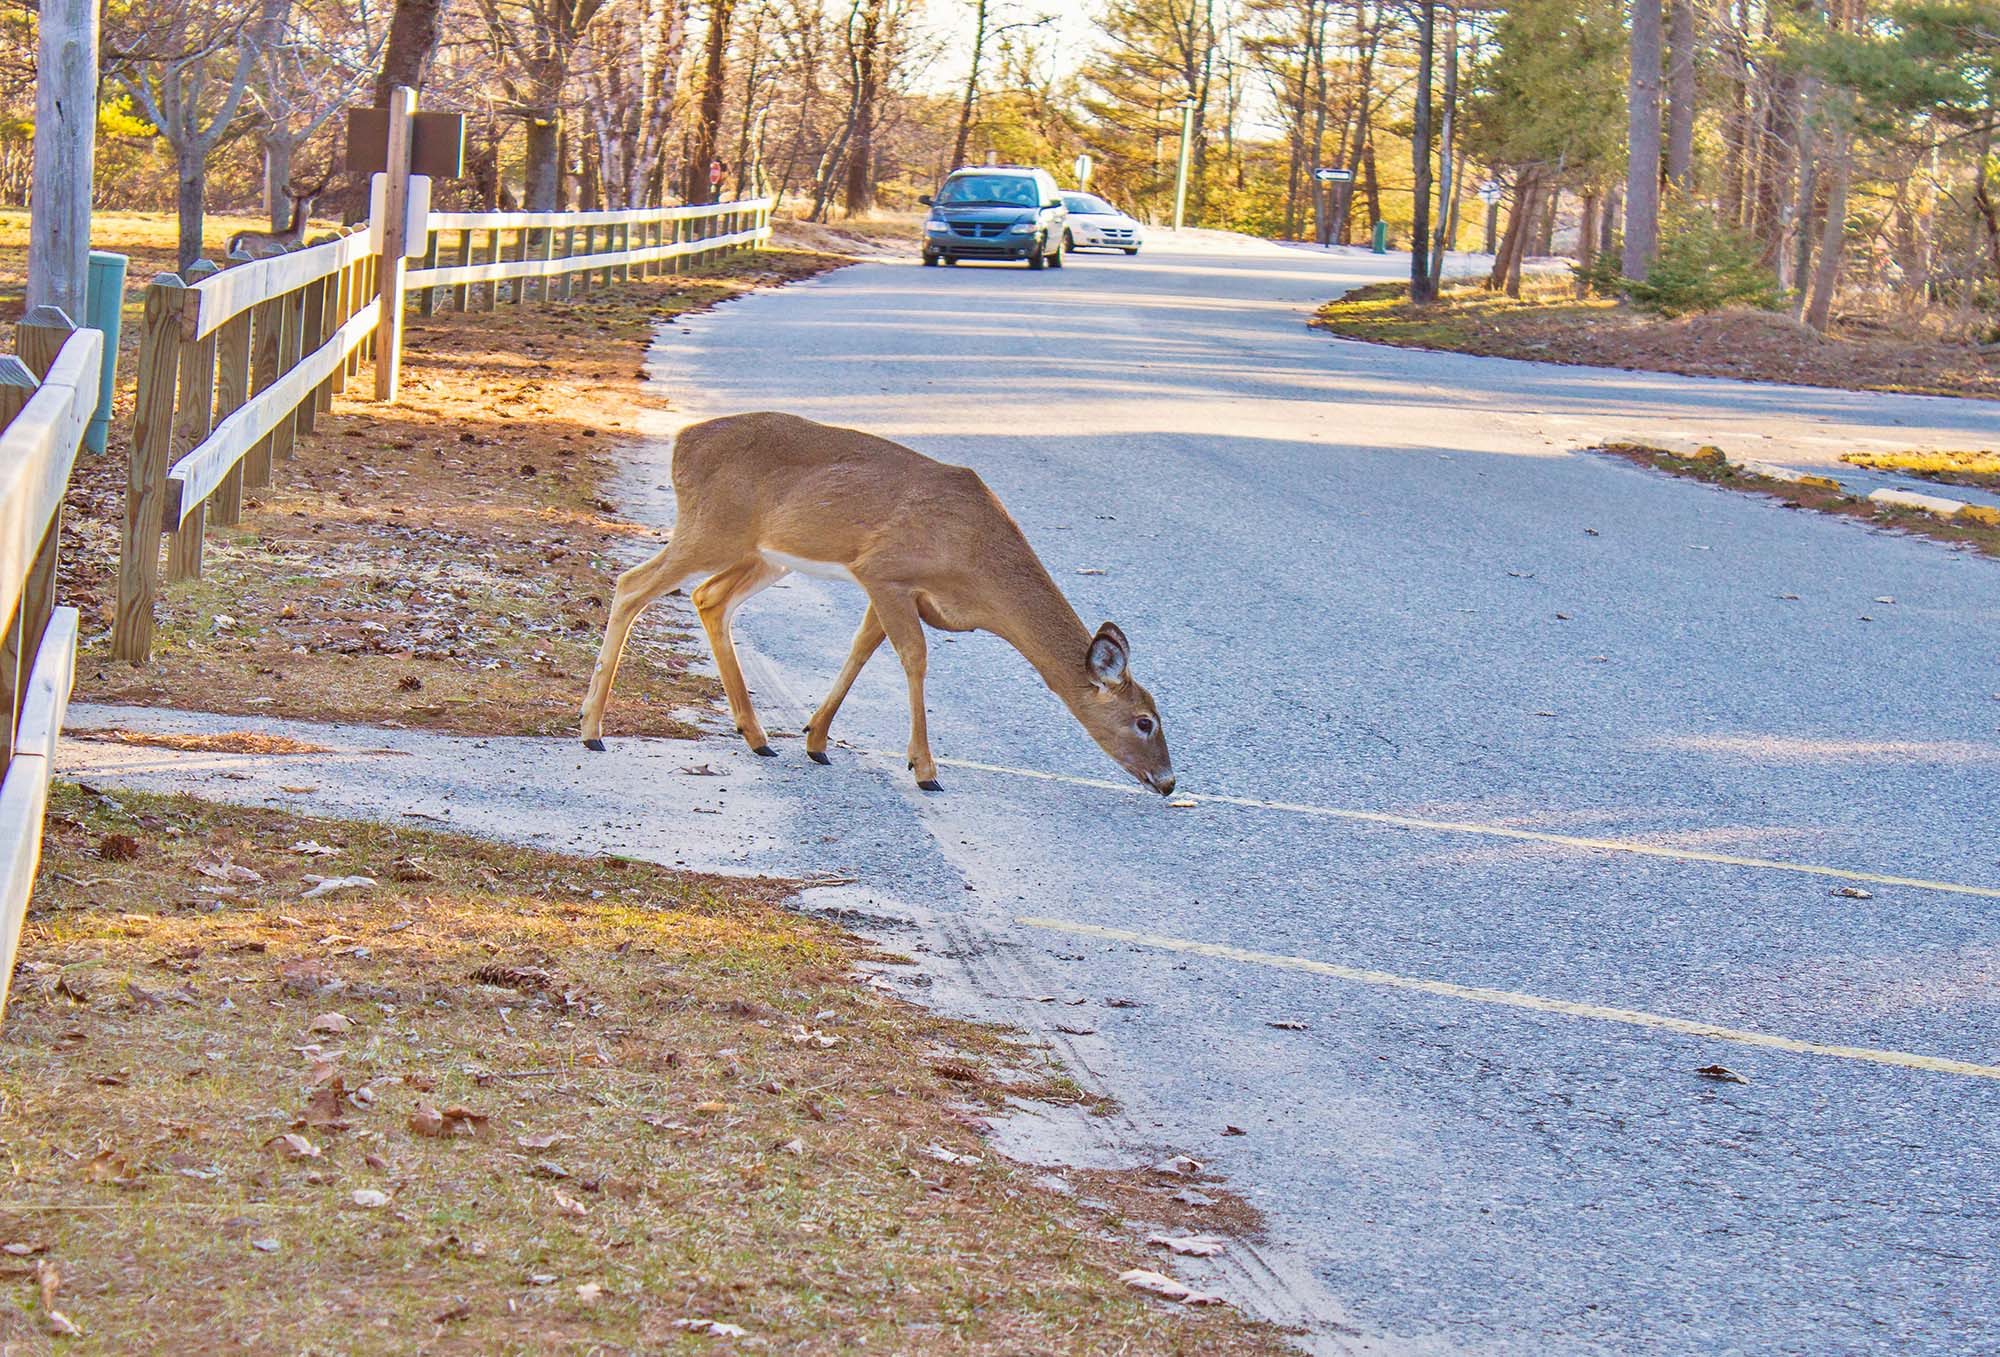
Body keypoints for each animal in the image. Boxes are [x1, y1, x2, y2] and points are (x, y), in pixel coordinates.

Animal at [580, 414, 1168, 796]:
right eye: (1144, 721)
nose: (1168, 781)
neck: (976, 561)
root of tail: (683, 439)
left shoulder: (898, 591)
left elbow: (862, 648)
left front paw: (816, 739)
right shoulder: (884, 570)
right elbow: (914, 658)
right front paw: (925, 769)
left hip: (765, 554)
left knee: (709, 598)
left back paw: (757, 736)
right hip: (712, 529)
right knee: (633, 584)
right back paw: (592, 731)